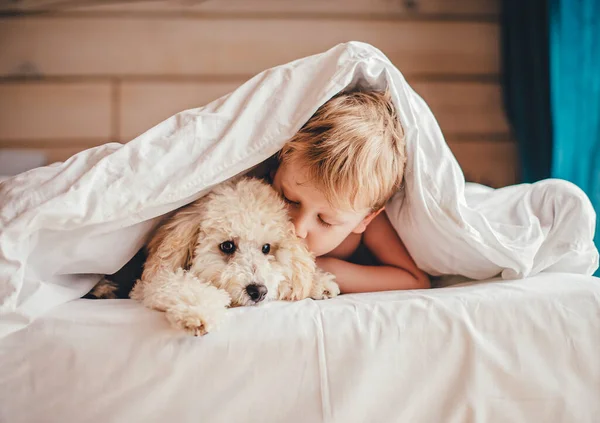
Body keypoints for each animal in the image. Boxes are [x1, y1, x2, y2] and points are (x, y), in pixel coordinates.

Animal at [91, 177, 340, 336]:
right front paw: (198, 312)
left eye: (266, 248)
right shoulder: (153, 282)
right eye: (227, 246)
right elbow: (183, 285)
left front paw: (319, 283)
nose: (258, 291)